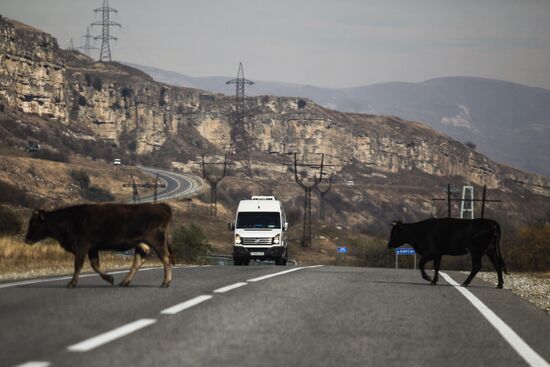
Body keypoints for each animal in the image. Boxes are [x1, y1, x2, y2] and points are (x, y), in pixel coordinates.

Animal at [25, 204, 175, 288]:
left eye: (33, 223)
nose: (27, 239)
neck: (69, 220)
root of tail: (161, 206)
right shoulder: (92, 249)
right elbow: (94, 265)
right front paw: (110, 278)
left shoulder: (82, 247)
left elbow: (78, 265)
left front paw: (72, 283)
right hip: (142, 244)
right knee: (137, 262)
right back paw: (124, 282)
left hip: (157, 241)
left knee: (166, 259)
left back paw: (165, 283)